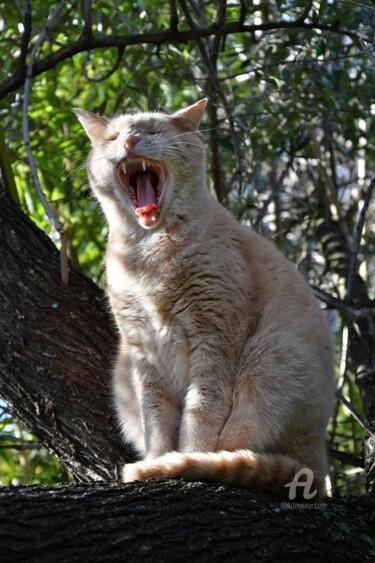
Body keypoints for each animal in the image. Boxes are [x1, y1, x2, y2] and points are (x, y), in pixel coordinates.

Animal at [75, 99, 336, 496]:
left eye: (153, 131)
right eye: (114, 137)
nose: (131, 142)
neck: (150, 252)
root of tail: (318, 462)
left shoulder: (213, 339)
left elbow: (201, 412)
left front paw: (182, 460)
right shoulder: (143, 352)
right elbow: (156, 419)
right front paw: (158, 461)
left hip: (267, 359)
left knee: (240, 448)